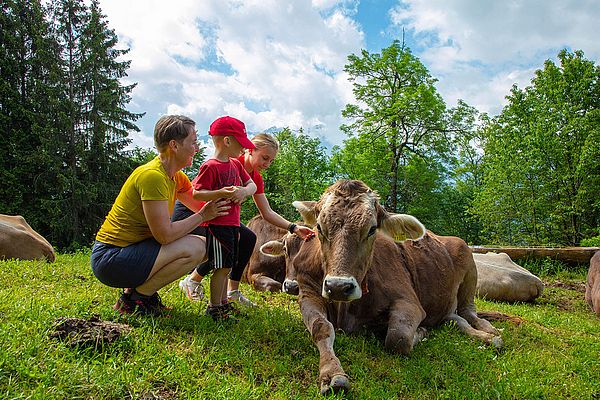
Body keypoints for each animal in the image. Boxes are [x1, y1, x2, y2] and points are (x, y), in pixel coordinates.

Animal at [262, 180, 502, 394]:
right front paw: (332, 373)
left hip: (470, 271)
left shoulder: (409, 302)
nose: (339, 286)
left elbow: (398, 339)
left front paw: (421, 331)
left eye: (372, 229)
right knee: (454, 319)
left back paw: (490, 334)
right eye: (320, 227)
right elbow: (321, 328)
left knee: (469, 313)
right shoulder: (309, 293)